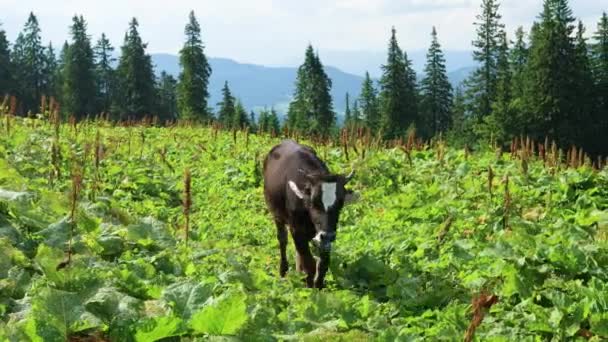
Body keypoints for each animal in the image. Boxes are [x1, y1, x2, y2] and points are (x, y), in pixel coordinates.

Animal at [262, 139, 356, 288]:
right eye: (313, 202)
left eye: (340, 202)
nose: (327, 235)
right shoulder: (296, 229)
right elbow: (309, 263)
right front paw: (309, 287)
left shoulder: (324, 237)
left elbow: (323, 263)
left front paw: (318, 286)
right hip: (277, 214)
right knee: (282, 239)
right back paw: (283, 271)